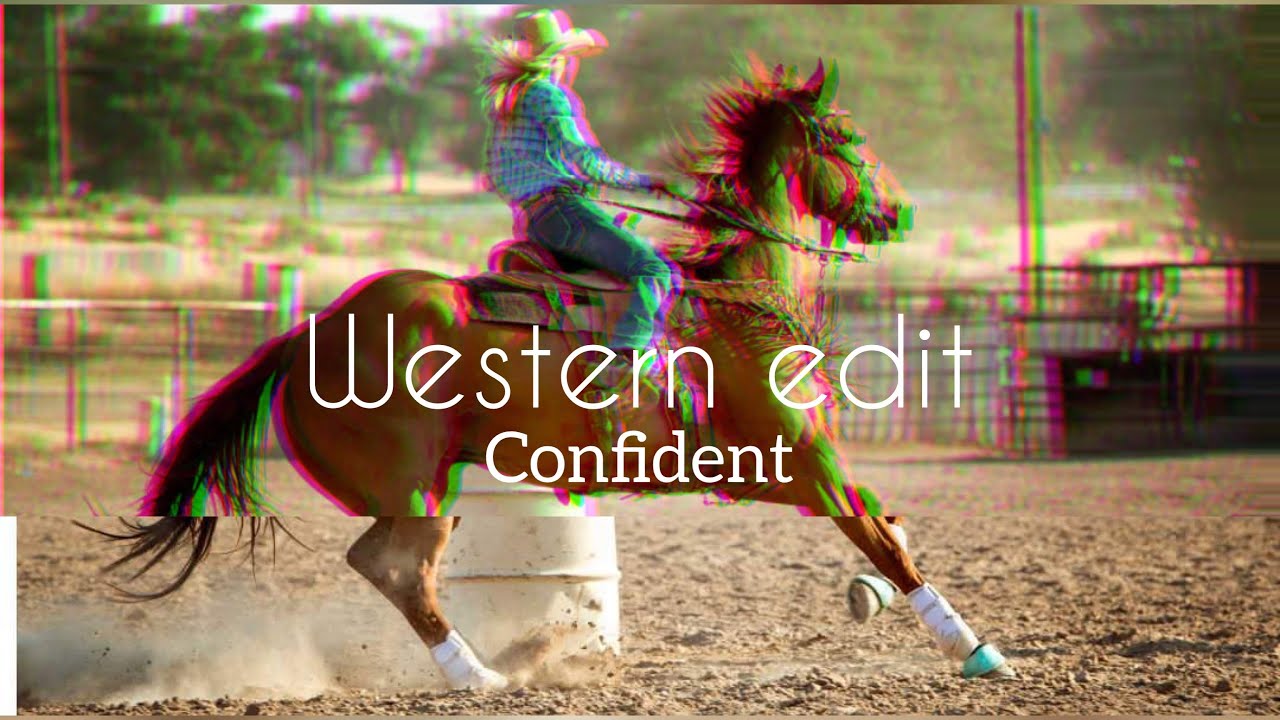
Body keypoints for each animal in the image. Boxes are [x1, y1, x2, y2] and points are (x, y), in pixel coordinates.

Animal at [80, 58, 1015, 690]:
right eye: (849, 138)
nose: (897, 212)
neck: (740, 303)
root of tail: (310, 333)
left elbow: (891, 532)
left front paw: (876, 599)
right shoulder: (803, 466)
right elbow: (885, 538)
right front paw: (977, 649)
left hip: (422, 489)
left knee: (386, 565)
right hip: (416, 489)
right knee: (398, 570)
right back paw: (480, 677)